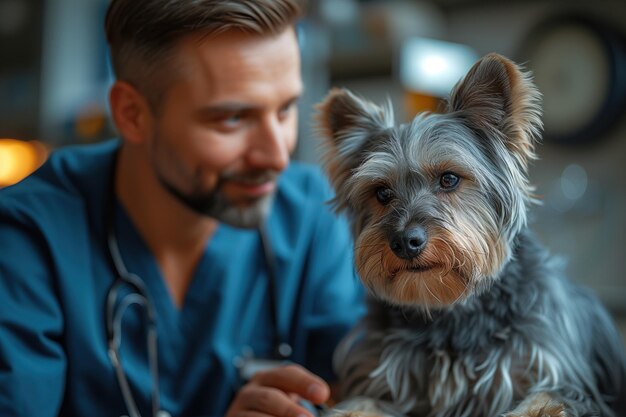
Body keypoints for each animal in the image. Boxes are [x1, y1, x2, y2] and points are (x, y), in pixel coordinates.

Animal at [316, 52, 624, 416]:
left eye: (449, 179)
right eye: (381, 193)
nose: (405, 241)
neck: (451, 311)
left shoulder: (566, 380)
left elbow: (543, 399)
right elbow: (359, 403)